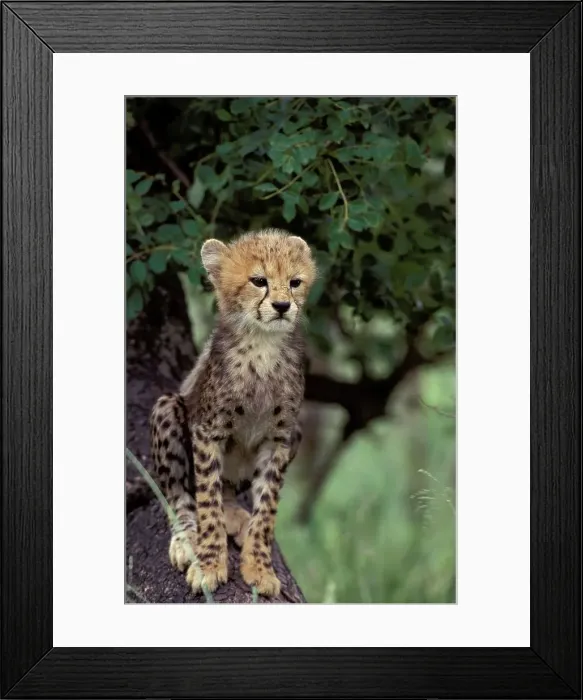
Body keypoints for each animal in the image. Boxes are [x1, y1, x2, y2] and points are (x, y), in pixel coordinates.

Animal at [149, 228, 317, 597]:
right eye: (258, 281)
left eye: (295, 282)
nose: (282, 306)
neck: (263, 345)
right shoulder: (207, 431)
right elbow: (207, 503)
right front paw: (210, 565)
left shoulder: (280, 438)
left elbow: (267, 509)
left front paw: (259, 567)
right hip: (167, 407)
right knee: (180, 497)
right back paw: (186, 540)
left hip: (297, 433)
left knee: (229, 492)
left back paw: (237, 516)